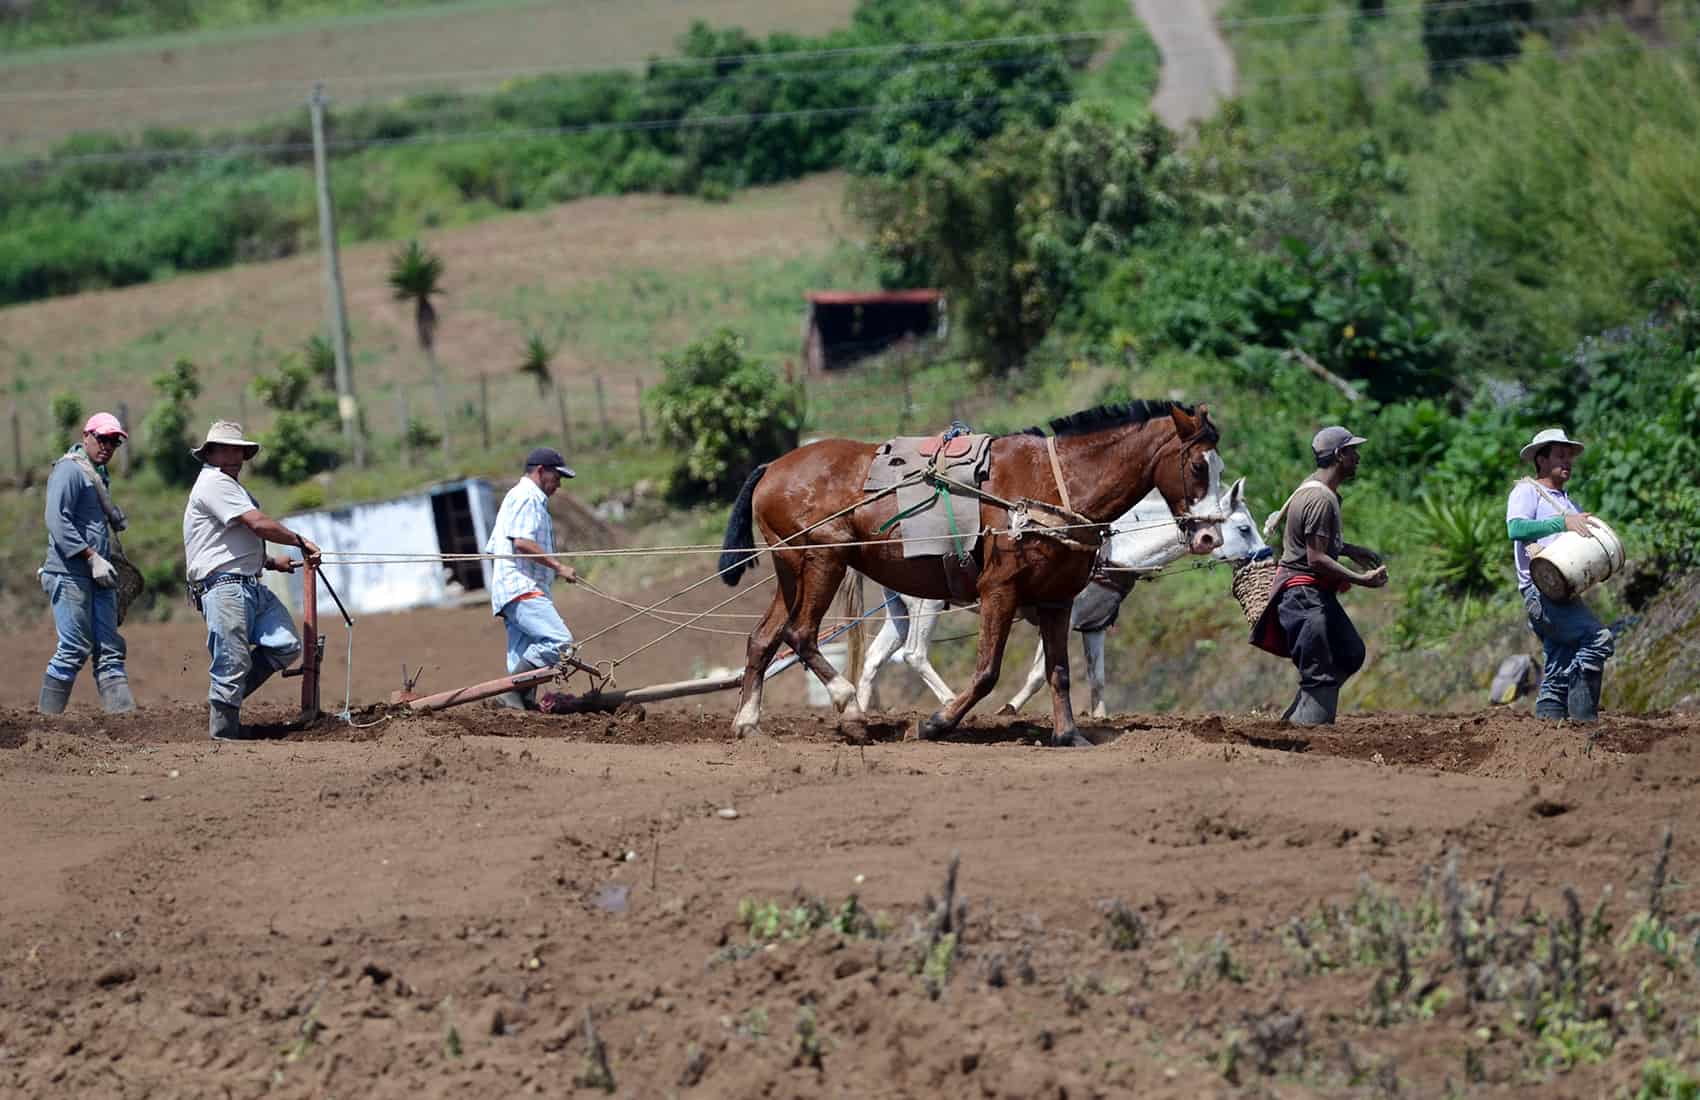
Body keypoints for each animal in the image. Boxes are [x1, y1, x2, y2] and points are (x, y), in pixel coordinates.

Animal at [717, 399, 1224, 744]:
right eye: (1200, 466)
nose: (1209, 537)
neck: (1050, 488)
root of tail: (773, 467)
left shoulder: (1058, 599)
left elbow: (1059, 670)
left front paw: (1068, 735)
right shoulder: (999, 590)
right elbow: (987, 671)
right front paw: (938, 722)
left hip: (791, 568)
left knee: (764, 638)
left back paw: (748, 723)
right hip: (826, 561)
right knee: (801, 634)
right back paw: (852, 711)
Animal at [856, 476, 1271, 717]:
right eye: (1244, 527)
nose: (1266, 556)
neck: (1112, 552)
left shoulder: (1094, 627)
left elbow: (1098, 679)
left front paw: (1100, 718)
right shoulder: (1060, 615)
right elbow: (1040, 673)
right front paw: (1009, 709)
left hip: (900, 609)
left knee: (875, 659)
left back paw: (857, 711)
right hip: (925, 606)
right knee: (914, 654)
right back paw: (949, 703)